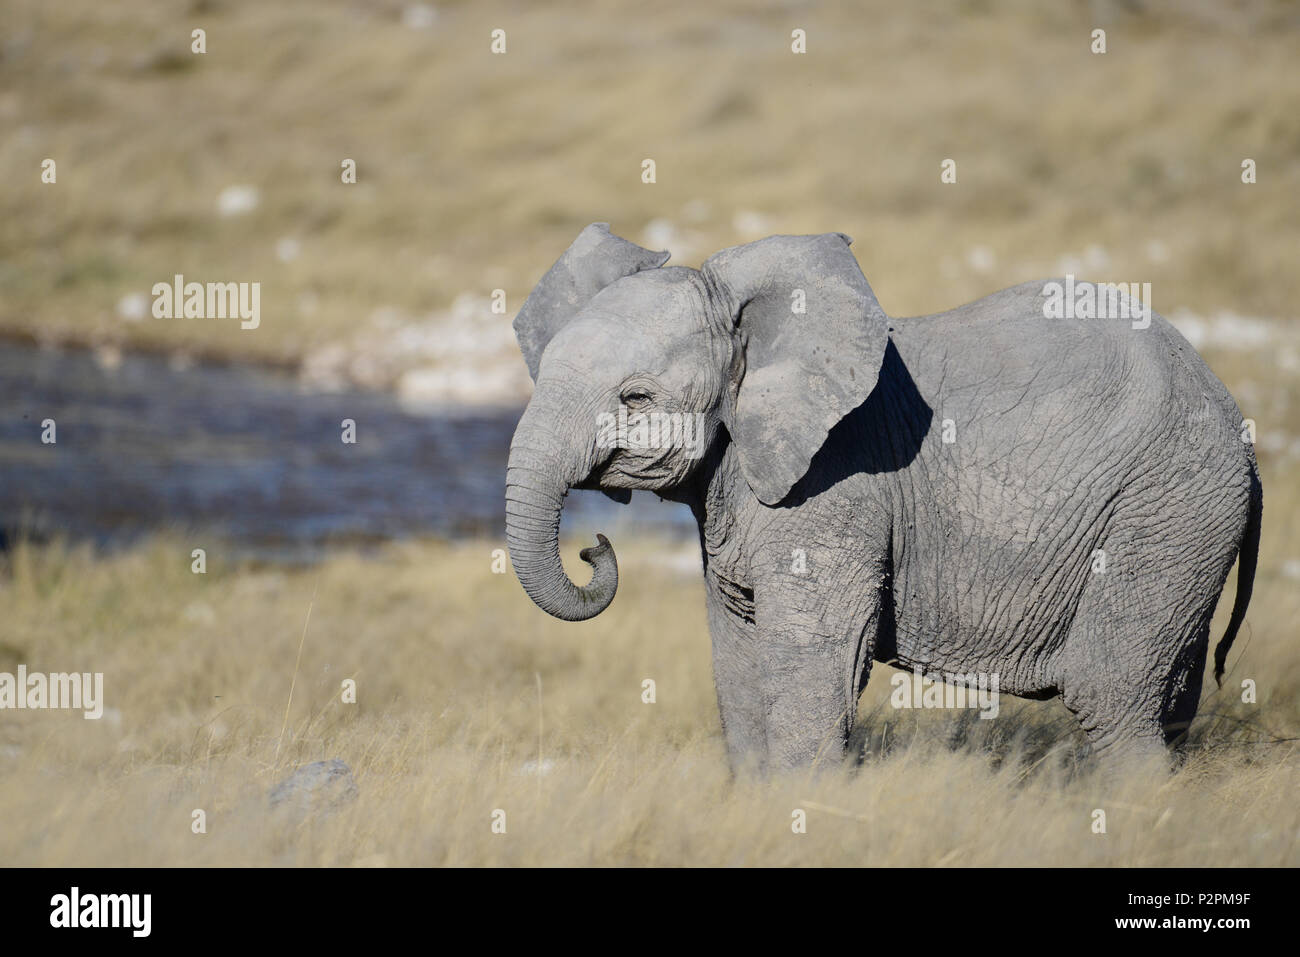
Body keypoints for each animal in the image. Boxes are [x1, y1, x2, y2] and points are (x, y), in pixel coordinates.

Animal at [504, 222, 1258, 769]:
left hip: (1166, 507)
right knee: (1169, 699)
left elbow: (814, 657)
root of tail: (1238, 424)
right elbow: (737, 657)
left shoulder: (838, 485)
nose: (593, 547)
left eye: (636, 398)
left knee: (1111, 694)